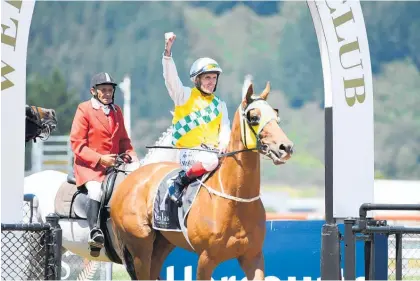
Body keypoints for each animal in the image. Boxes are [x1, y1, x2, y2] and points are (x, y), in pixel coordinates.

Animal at [109, 81, 292, 278]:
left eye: (276, 115)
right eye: (254, 117)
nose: (285, 147)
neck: (236, 200)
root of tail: (129, 179)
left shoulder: (253, 256)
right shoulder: (206, 259)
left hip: (162, 244)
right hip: (140, 247)